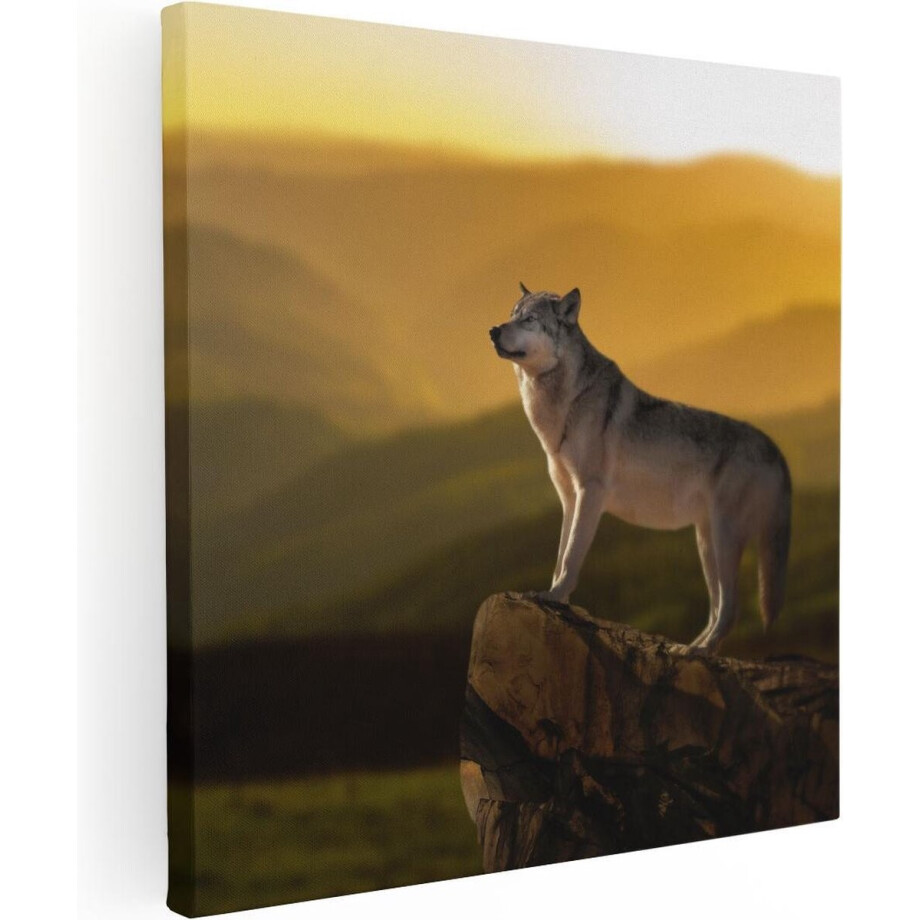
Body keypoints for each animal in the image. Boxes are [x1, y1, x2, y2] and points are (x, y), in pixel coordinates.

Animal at [489, 284, 792, 653]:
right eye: (511, 314)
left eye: (530, 319)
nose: (493, 331)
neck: (565, 404)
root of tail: (773, 447)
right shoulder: (569, 499)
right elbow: (561, 555)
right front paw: (551, 595)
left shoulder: (590, 493)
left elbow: (572, 557)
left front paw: (555, 596)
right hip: (706, 543)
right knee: (716, 607)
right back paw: (686, 648)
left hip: (724, 538)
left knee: (730, 608)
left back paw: (698, 652)